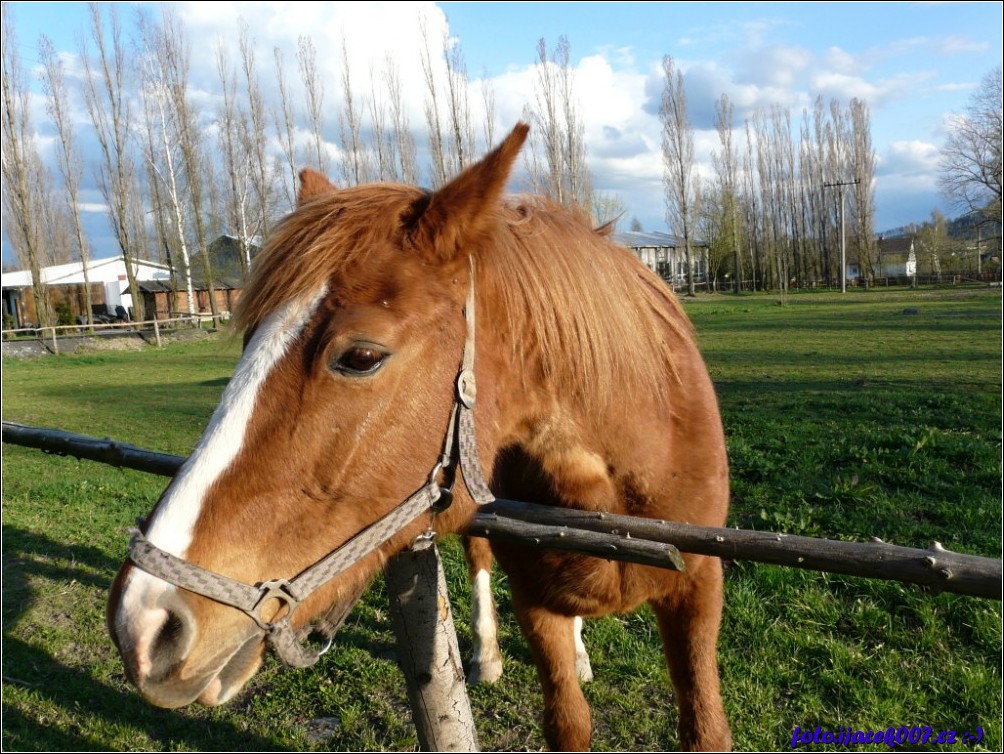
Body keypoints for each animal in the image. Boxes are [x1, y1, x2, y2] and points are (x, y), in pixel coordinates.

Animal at [107, 123, 730, 750]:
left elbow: (706, 726)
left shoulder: (700, 588)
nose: (146, 623)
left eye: (361, 357)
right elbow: (568, 722)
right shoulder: (533, 598)